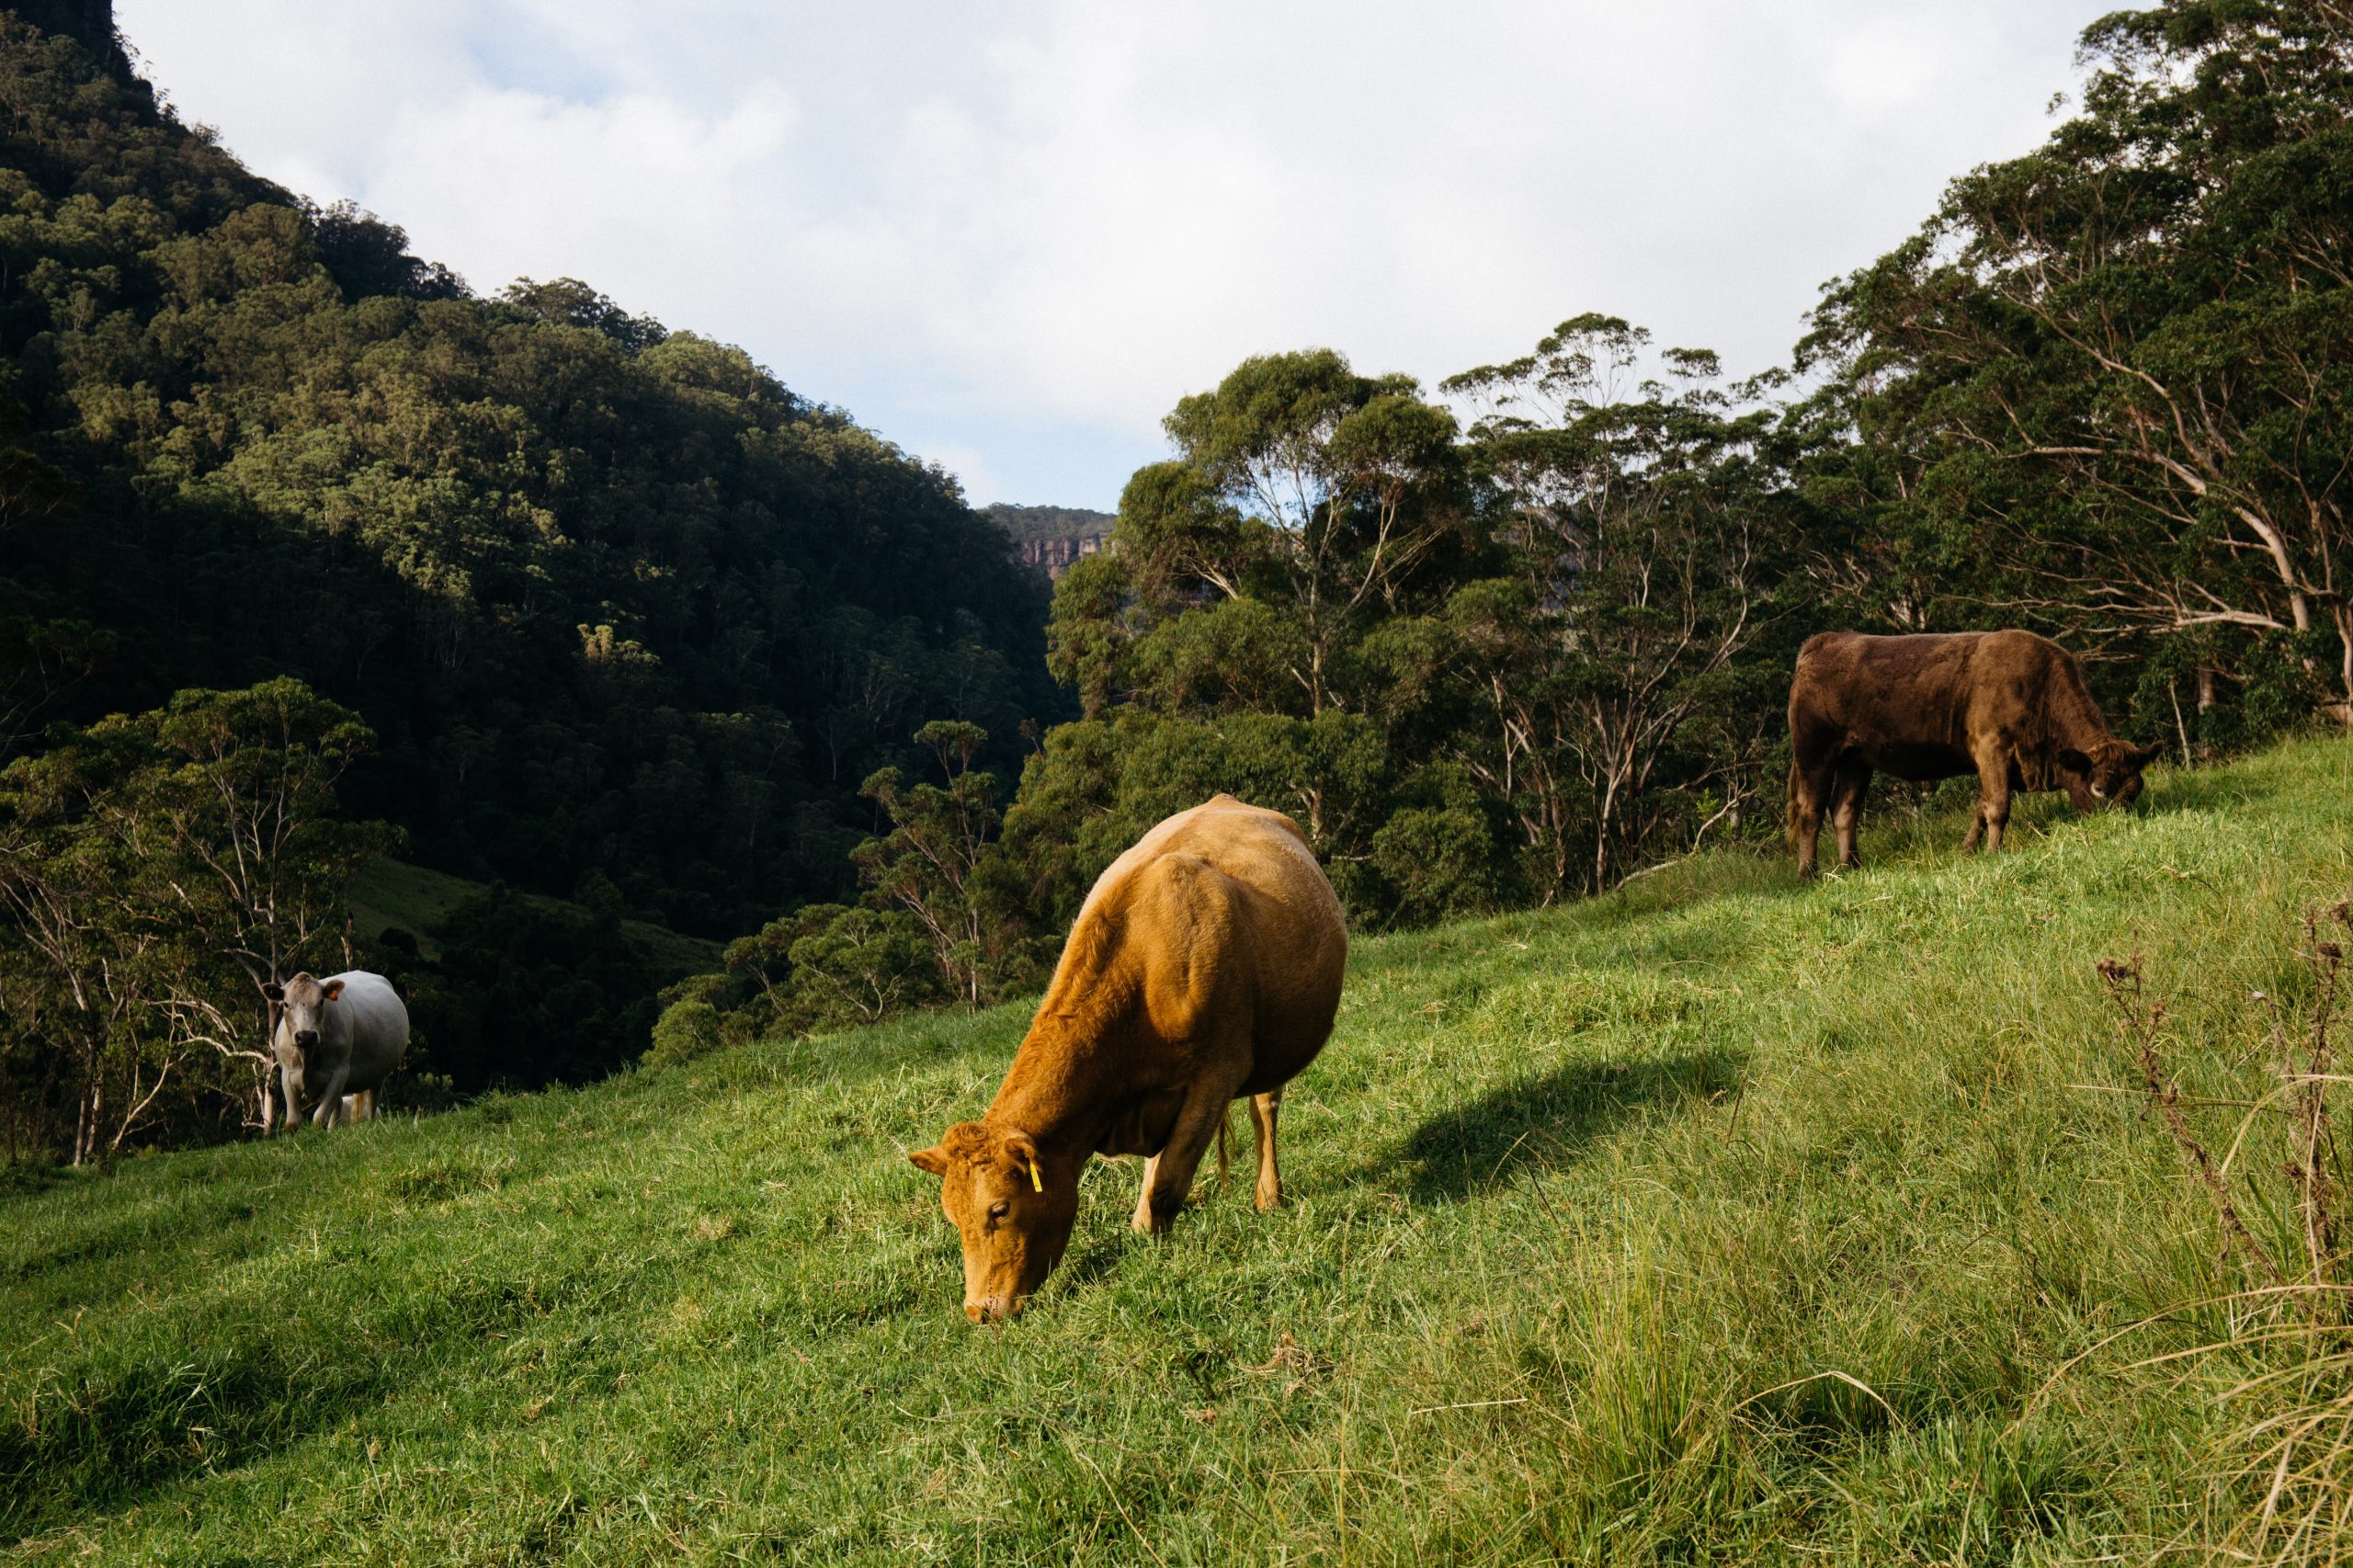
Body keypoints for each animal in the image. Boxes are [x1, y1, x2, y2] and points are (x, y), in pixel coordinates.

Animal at [265, 970, 409, 1130]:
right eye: (286, 1004)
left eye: (321, 1002)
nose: (305, 1036)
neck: (307, 1057)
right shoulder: (287, 1074)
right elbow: (293, 1122)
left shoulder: (340, 1073)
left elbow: (319, 1118)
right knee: (339, 1105)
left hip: (377, 1076)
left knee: (372, 1103)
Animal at [908, 794, 1347, 1323]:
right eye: (952, 1217)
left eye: (1000, 1209)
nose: (979, 1311)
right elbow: (1156, 1170)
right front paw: (1140, 1230)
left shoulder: (1216, 1077)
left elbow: (1168, 1181)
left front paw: (1153, 1251)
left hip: (1271, 1049)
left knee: (1265, 1110)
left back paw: (1269, 1196)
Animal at [1787, 629, 2160, 878]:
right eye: (2099, 789)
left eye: (2135, 790)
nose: (2117, 829)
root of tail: (1824, 643)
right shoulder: (1992, 748)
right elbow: (1998, 807)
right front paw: (1994, 852)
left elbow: (1982, 807)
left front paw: (1967, 850)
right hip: (1815, 752)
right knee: (1811, 811)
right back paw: (1809, 873)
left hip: (1857, 758)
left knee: (1844, 809)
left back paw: (1852, 866)